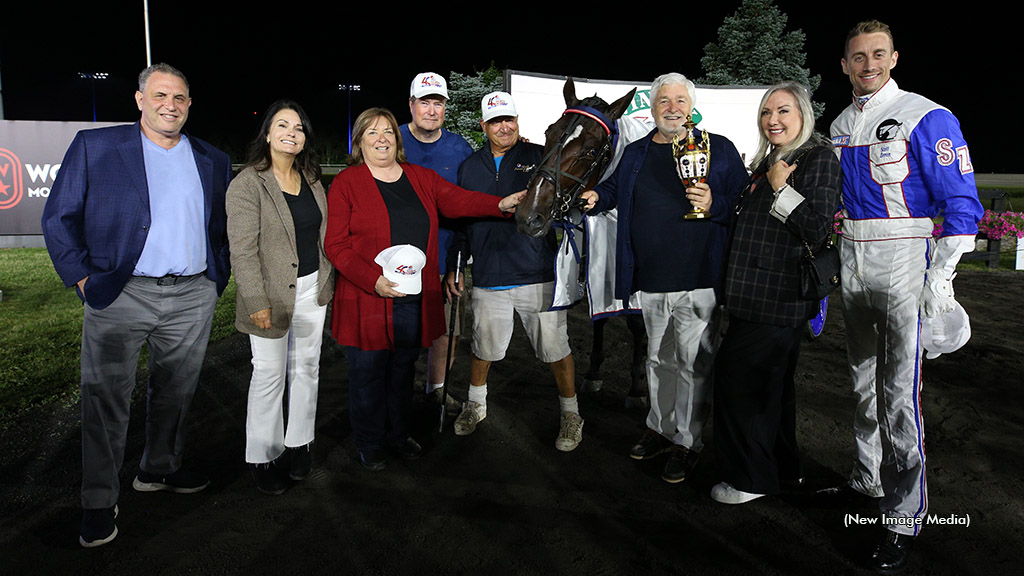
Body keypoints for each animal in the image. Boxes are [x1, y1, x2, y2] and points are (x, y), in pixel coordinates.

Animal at [520, 78, 647, 405]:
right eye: (548, 133)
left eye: (591, 151)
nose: (529, 216)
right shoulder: (596, 263)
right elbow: (599, 315)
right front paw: (593, 373)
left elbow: (636, 321)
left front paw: (638, 385)